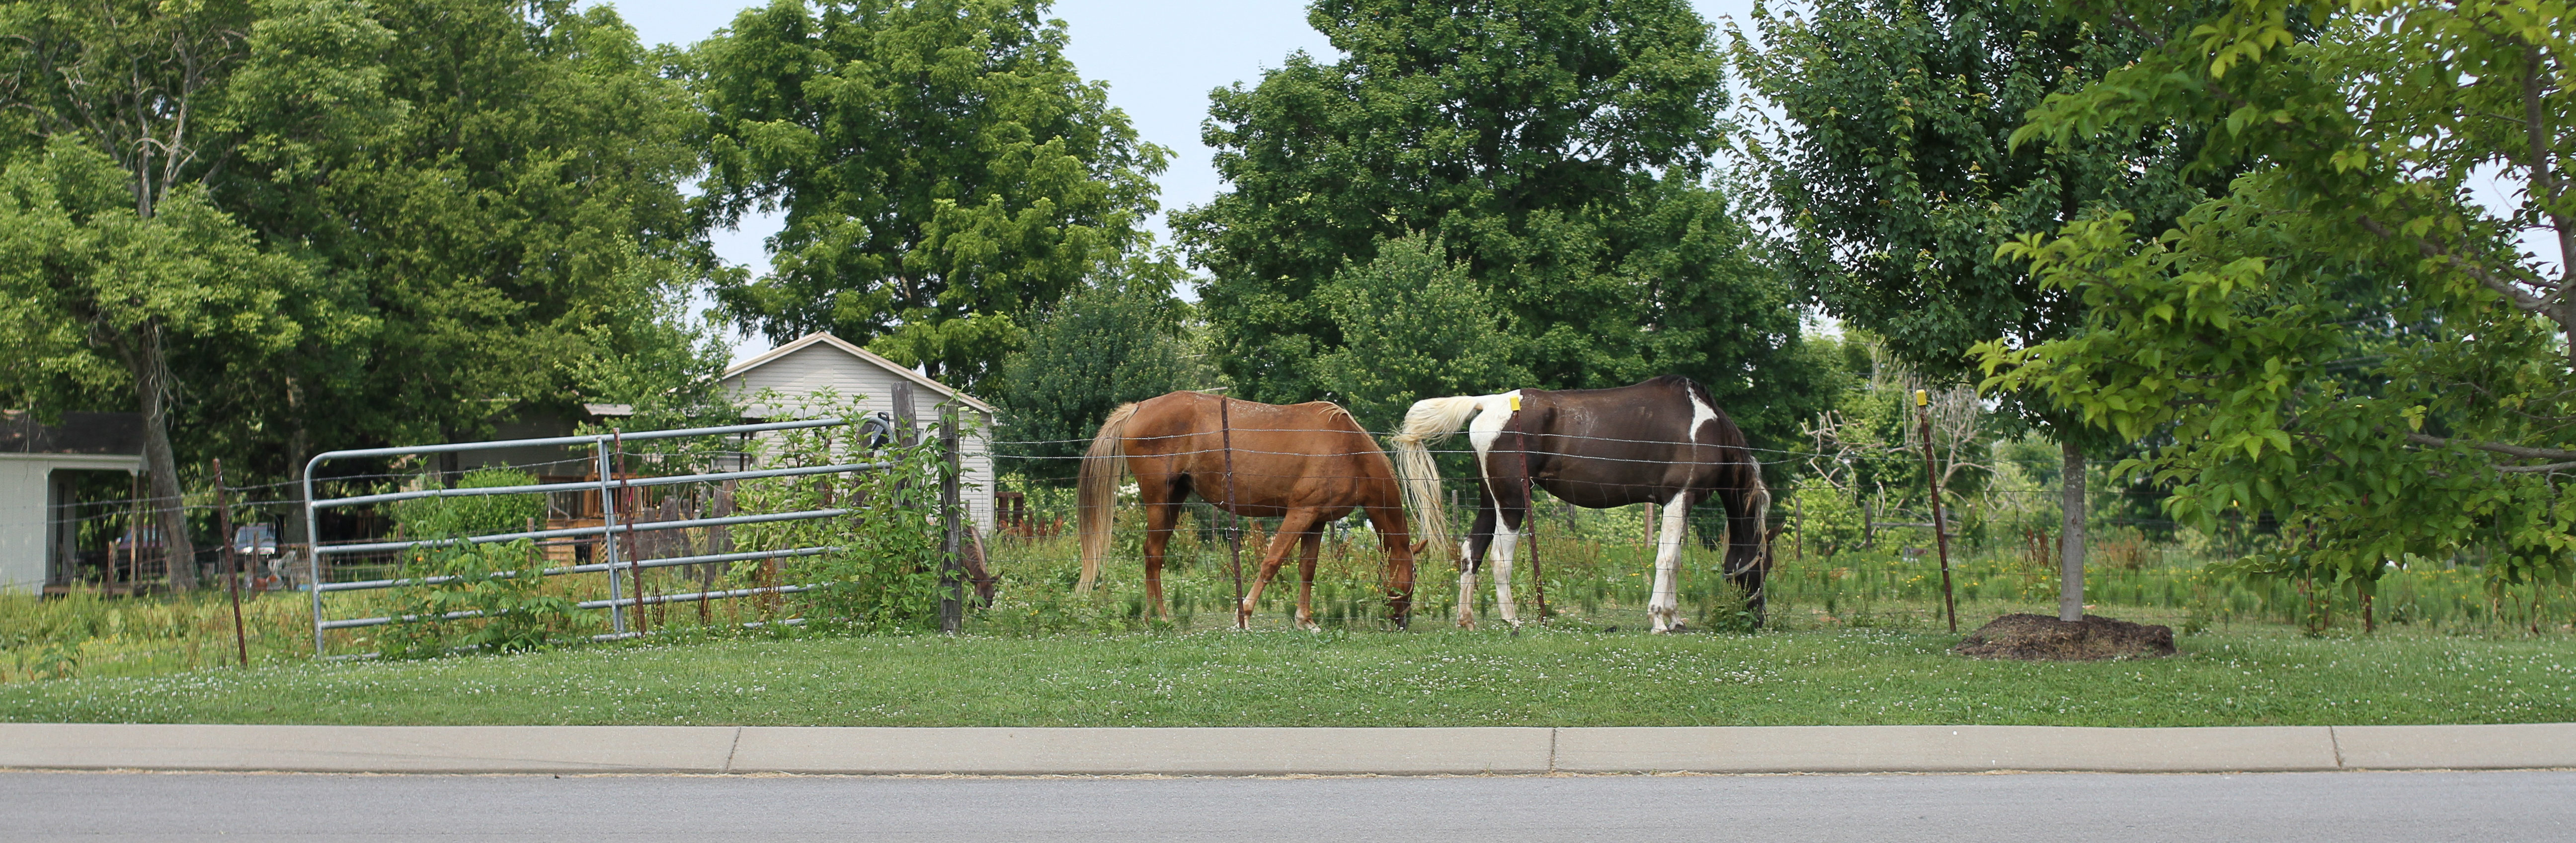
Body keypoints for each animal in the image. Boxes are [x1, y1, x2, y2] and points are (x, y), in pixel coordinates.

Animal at [1071, 391, 1432, 631]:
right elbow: (1271, 562)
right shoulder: (1299, 513)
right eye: (1414, 574)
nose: (1402, 622)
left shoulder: (1316, 520)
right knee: (1153, 554)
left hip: (1174, 500)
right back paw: (1158, 616)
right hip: (1160, 501)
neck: (1348, 449)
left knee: (1153, 554)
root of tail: (1138, 407)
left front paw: (1306, 620)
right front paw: (1243, 614)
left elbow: (1307, 569)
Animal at [1391, 376, 1772, 634]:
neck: (1707, 428)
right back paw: (1512, 620)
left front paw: (1675, 618)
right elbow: (1665, 559)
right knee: (1500, 556)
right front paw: (1658, 620)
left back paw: (1467, 620)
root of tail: (1488, 403)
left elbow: (1675, 561)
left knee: (1472, 551)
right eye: (1763, 565)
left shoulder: (1680, 505)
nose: (1759, 619)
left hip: (1491, 500)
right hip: (1512, 503)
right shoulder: (1679, 498)